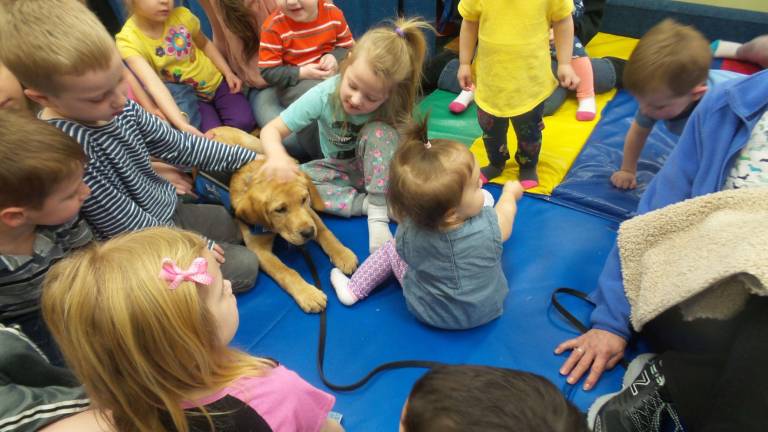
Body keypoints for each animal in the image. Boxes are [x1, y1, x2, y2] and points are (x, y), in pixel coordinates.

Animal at [230, 159, 358, 310]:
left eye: (304, 199)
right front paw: (307, 293)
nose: (309, 233)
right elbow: (285, 271)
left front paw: (342, 254)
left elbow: (324, 232)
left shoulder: (310, 214)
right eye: (280, 209)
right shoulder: (258, 249)